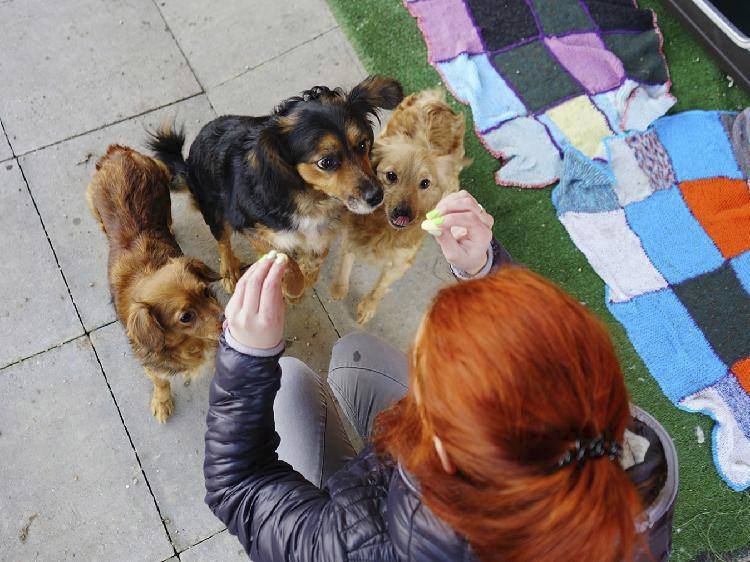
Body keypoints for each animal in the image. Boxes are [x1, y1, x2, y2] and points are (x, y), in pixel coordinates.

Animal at [88, 144, 222, 420]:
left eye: (206, 292)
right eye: (186, 317)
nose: (228, 320)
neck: (187, 343)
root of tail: (118, 153)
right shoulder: (153, 367)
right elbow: (161, 382)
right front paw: (162, 401)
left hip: (163, 184)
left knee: (168, 216)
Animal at [148, 76, 406, 296]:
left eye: (362, 144)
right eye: (326, 162)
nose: (377, 196)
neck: (307, 194)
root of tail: (188, 160)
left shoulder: (322, 230)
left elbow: (319, 253)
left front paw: (309, 273)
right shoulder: (250, 227)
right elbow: (283, 258)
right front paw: (293, 285)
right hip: (214, 209)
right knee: (223, 241)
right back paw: (229, 271)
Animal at [330, 89, 468, 322]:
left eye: (425, 183)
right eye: (391, 176)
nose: (403, 213)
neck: (384, 229)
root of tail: (437, 102)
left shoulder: (400, 263)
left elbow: (380, 288)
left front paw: (368, 307)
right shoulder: (352, 236)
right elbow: (344, 265)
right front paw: (339, 289)